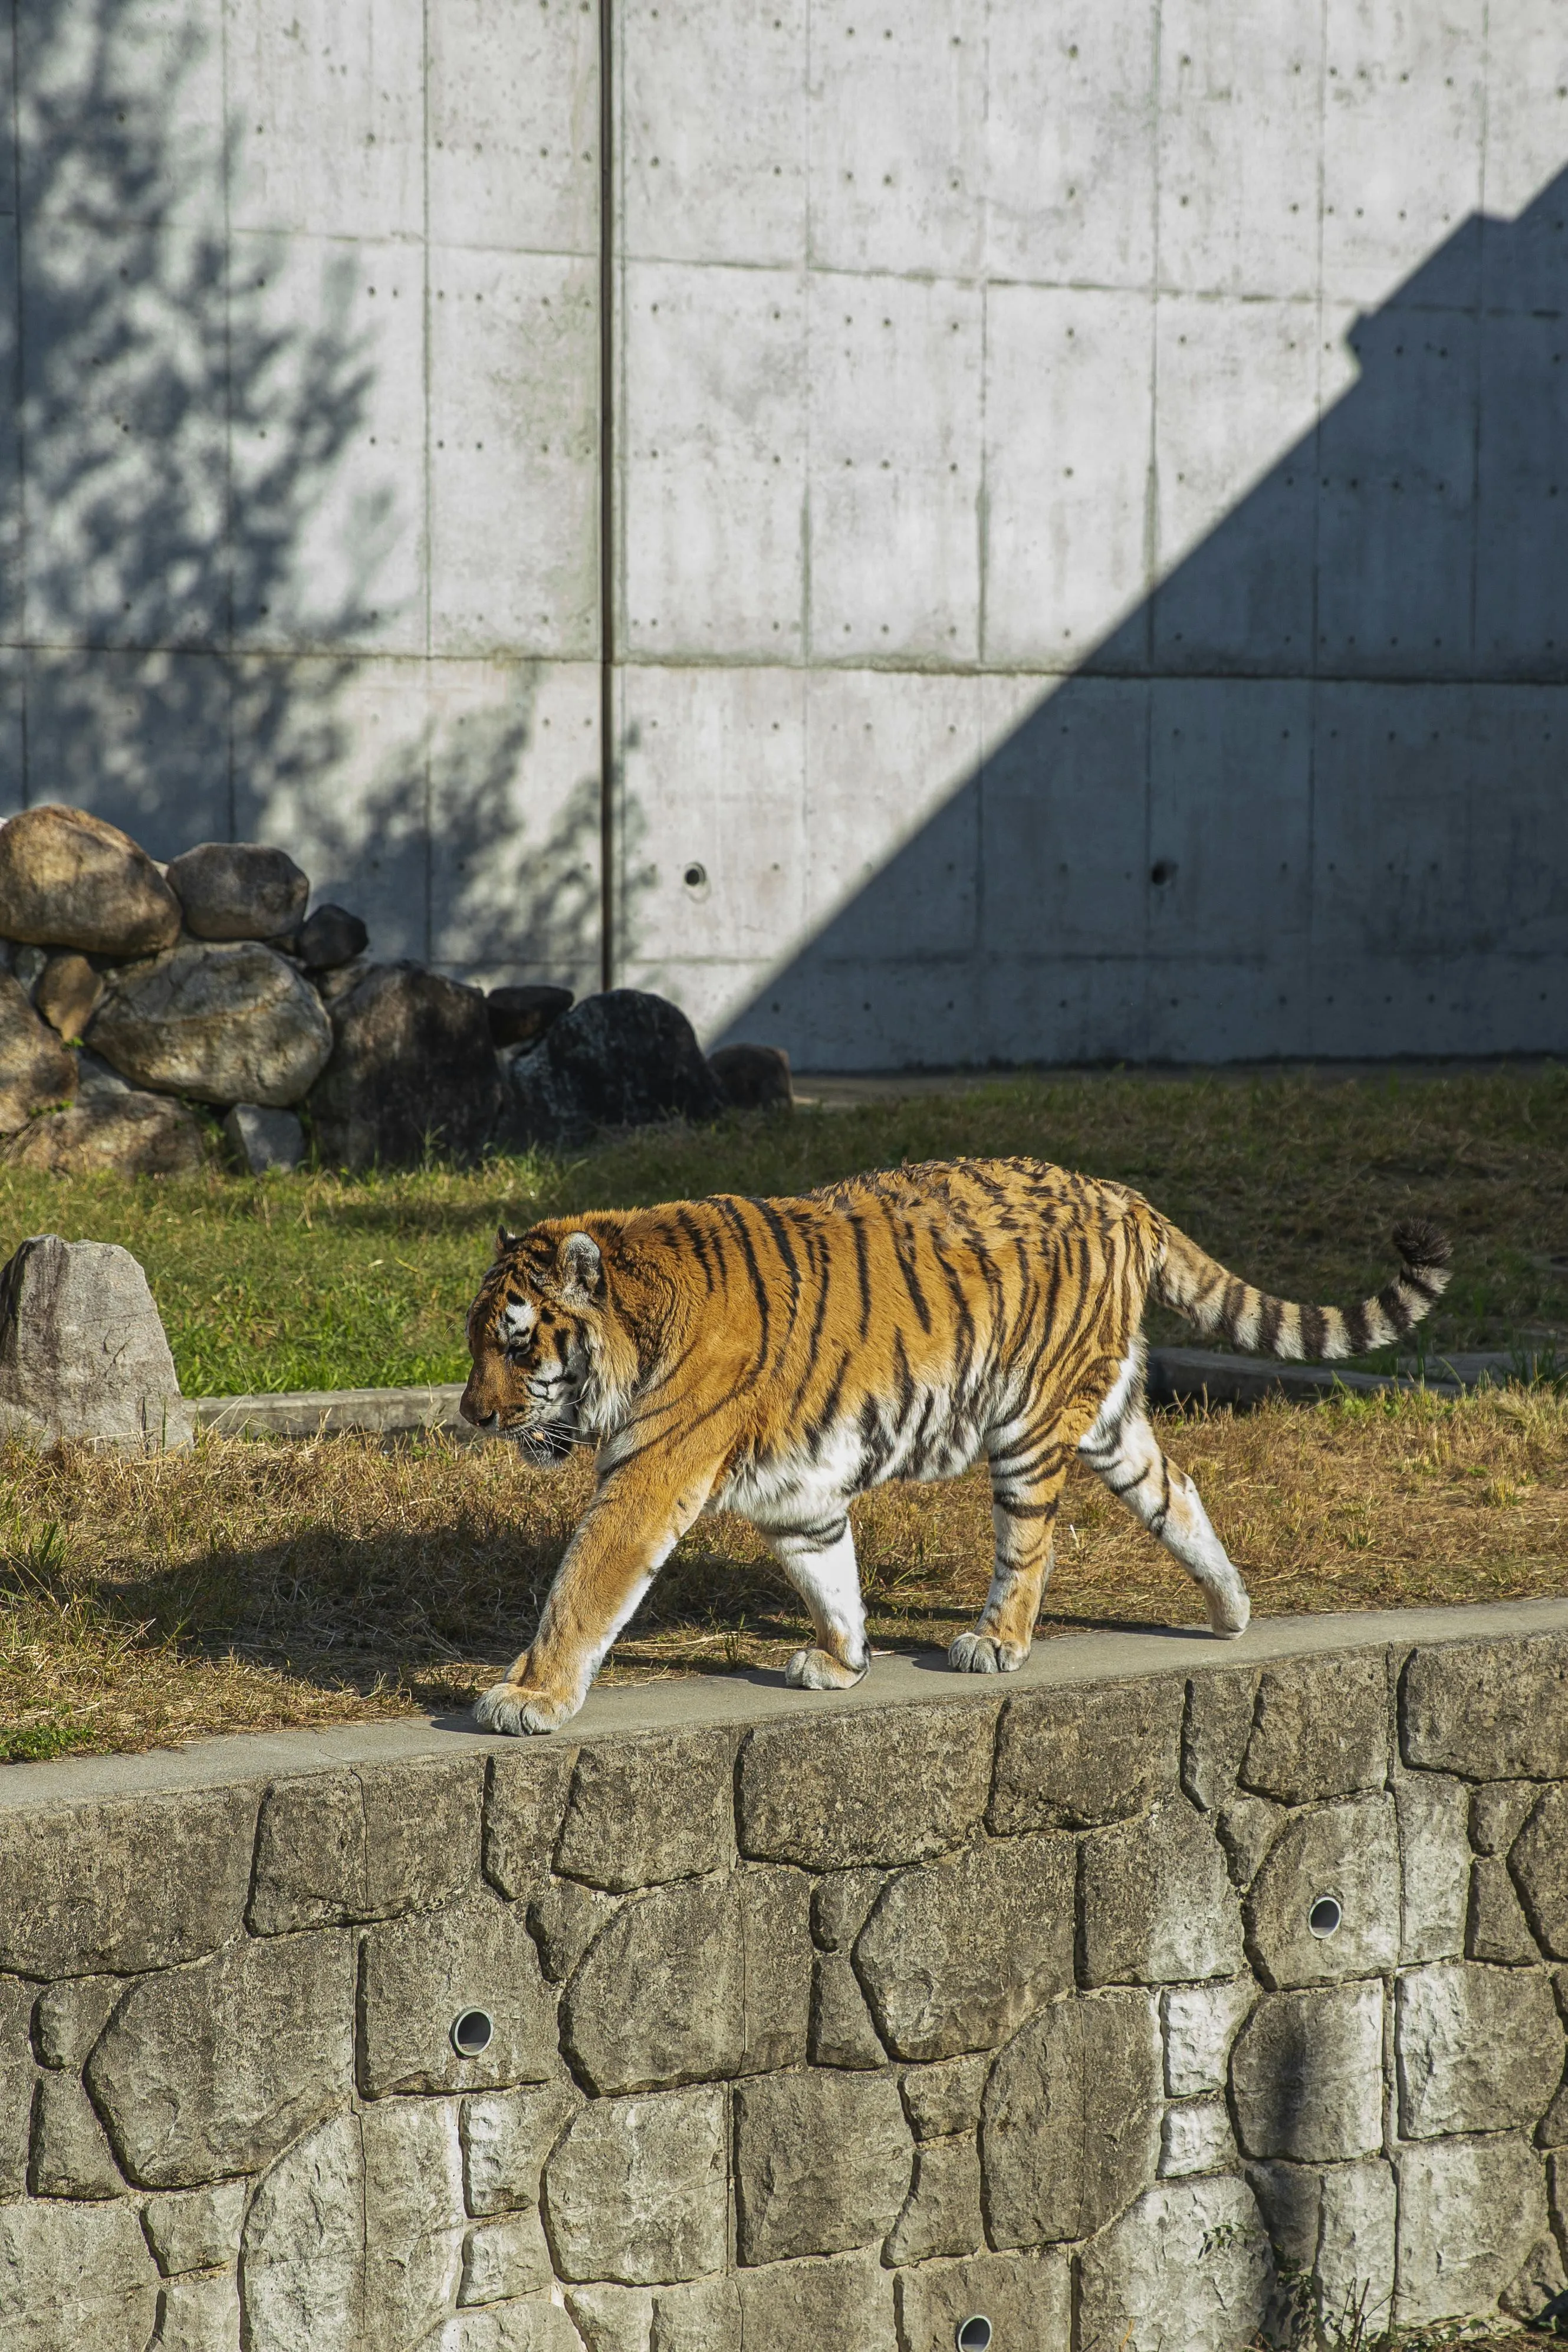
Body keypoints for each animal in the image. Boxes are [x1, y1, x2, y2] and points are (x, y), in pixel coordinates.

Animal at [459, 1156, 1450, 1734]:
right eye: (474, 1341)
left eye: (516, 1346)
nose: (472, 1414)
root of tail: (1124, 1195)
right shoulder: (796, 1494)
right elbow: (828, 1575)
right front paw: (842, 1661)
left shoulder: (648, 1474)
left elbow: (581, 1588)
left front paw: (528, 1696)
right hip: (1108, 1419)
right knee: (1176, 1489)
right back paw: (1229, 1609)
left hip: (1029, 1420)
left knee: (1030, 1545)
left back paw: (995, 1641)